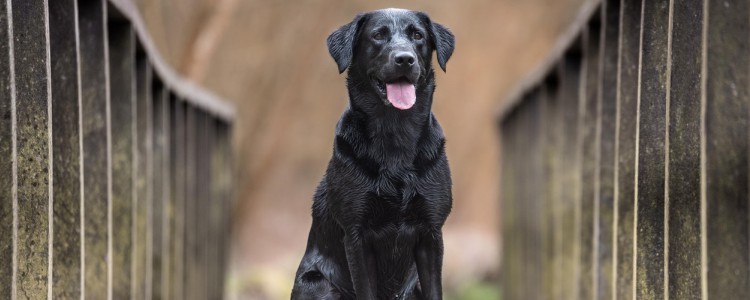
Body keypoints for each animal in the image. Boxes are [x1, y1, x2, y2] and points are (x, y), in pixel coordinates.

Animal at [292, 8, 458, 298]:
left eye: (418, 35)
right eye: (378, 35)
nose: (405, 59)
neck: (395, 134)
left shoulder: (431, 234)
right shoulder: (357, 236)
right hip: (318, 284)